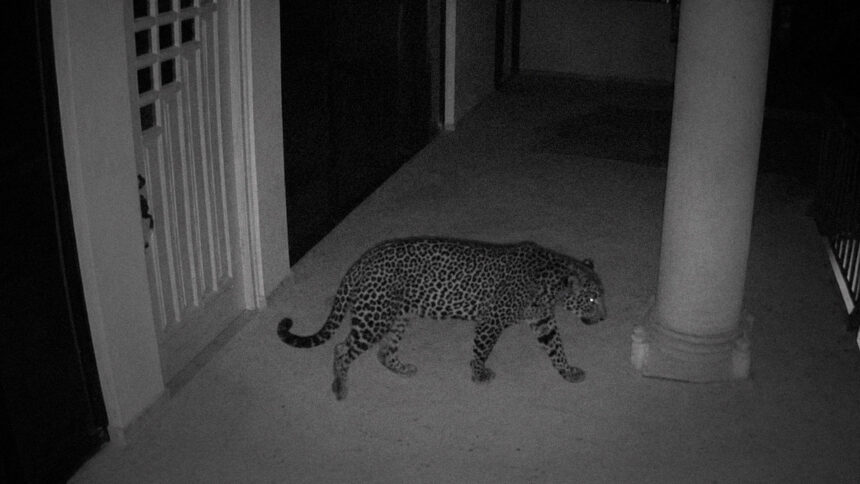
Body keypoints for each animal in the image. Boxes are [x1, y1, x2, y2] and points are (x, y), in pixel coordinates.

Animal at [277, 237, 606, 400]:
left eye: (600, 296)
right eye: (591, 299)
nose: (604, 318)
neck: (551, 287)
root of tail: (361, 261)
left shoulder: (543, 322)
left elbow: (556, 348)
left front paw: (568, 372)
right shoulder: (491, 321)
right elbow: (482, 350)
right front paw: (478, 375)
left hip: (398, 317)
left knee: (384, 352)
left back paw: (402, 369)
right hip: (374, 318)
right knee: (342, 348)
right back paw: (340, 387)